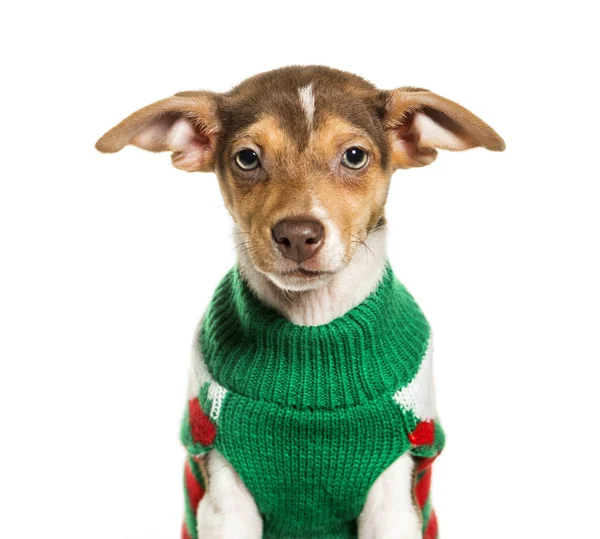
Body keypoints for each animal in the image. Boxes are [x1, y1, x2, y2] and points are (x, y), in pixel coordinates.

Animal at [96, 65, 504, 536]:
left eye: (354, 156)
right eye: (247, 158)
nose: (297, 235)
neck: (311, 330)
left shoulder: (395, 498)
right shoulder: (223, 493)